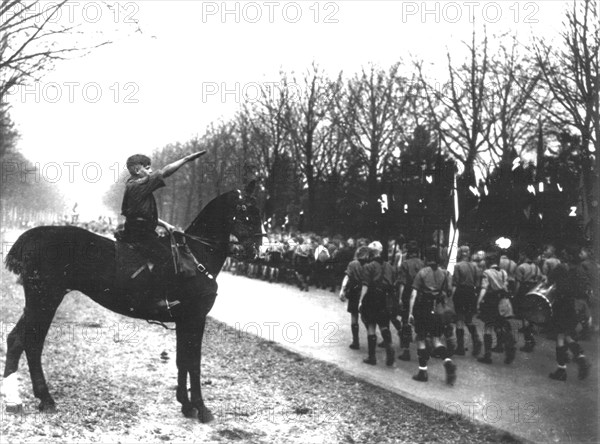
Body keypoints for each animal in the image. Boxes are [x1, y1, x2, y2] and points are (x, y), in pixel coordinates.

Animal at [1, 181, 262, 424]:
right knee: (30, 342)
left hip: (39, 302)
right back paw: (37, 399)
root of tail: (34, 235)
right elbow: (194, 363)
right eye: (245, 208)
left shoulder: (184, 321)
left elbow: (182, 361)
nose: (256, 250)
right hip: (45, 300)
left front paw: (186, 405)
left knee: (19, 340)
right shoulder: (195, 319)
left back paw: (23, 400)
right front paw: (202, 408)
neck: (195, 255)